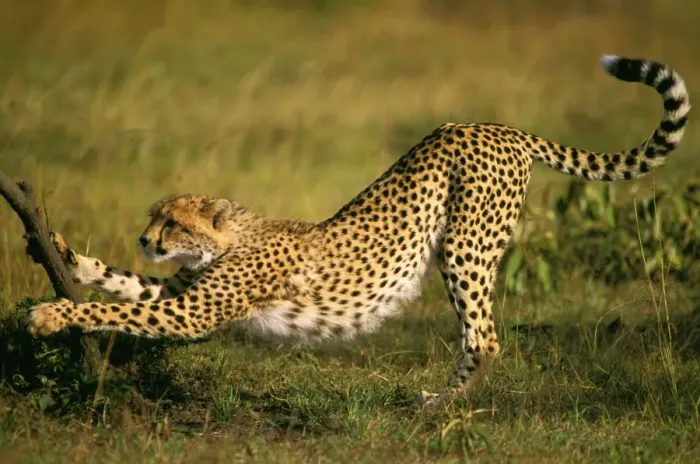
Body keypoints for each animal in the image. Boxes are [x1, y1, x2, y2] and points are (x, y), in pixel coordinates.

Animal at [26, 56, 690, 407]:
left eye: (171, 223)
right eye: (152, 219)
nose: (147, 240)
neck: (229, 237)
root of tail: (493, 126)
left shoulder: (192, 312)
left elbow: (114, 309)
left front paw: (49, 314)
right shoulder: (183, 293)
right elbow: (121, 284)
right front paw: (59, 249)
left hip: (463, 245)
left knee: (485, 337)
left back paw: (437, 408)